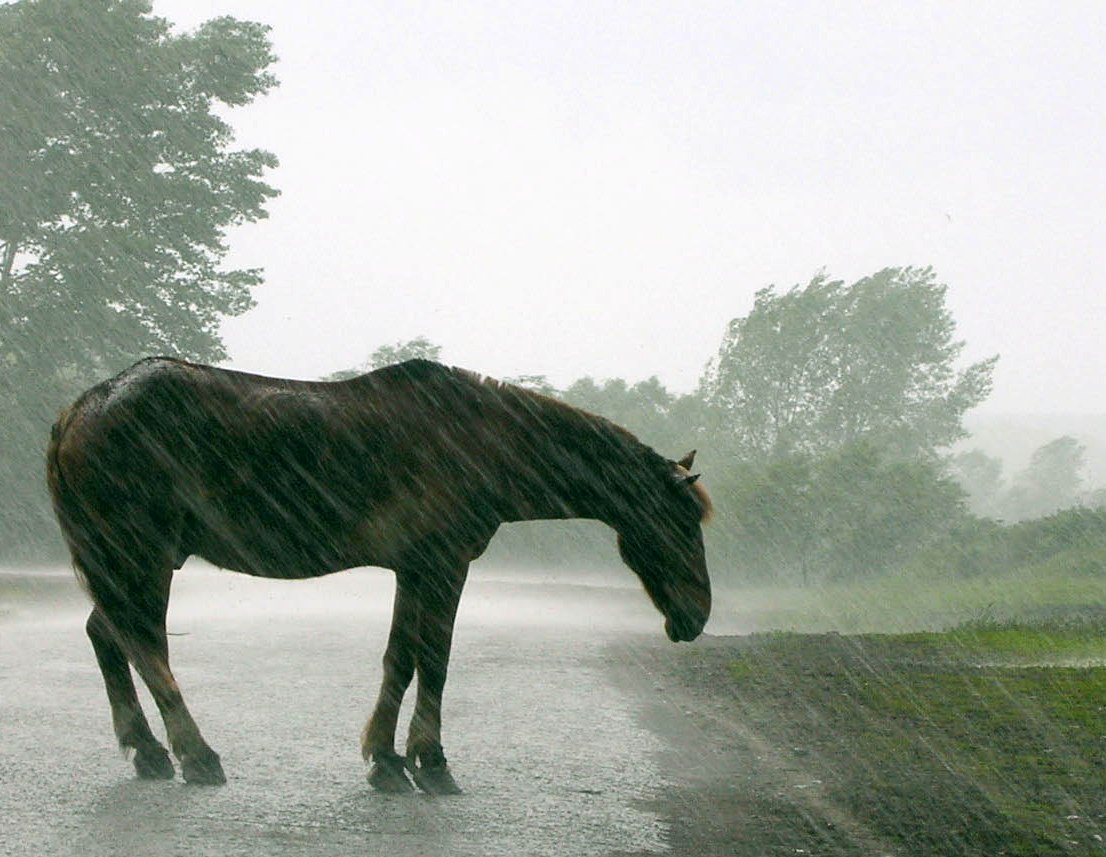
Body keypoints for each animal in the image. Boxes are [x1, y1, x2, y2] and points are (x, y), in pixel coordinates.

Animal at [47, 353, 712, 791]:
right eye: (681, 523)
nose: (697, 616)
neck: (482, 440)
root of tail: (77, 410)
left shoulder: (414, 570)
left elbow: (401, 659)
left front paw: (387, 760)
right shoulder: (443, 567)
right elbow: (435, 659)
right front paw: (431, 761)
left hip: (129, 562)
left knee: (110, 637)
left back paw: (149, 752)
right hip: (141, 556)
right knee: (142, 645)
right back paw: (196, 755)